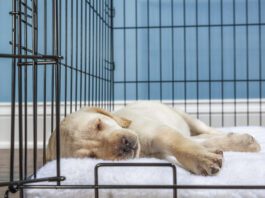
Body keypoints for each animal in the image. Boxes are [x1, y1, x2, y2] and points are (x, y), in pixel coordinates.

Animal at [46, 101, 260, 176]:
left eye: (99, 124)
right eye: (91, 156)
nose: (124, 145)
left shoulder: (160, 132)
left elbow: (181, 143)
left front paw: (202, 159)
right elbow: (193, 143)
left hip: (187, 117)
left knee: (209, 132)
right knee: (204, 138)